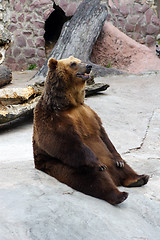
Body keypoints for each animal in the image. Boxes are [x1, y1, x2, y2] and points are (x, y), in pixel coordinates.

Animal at [33, 55, 149, 204]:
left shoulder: (89, 114)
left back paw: (138, 178)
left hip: (108, 157)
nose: (88, 66)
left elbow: (103, 135)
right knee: (95, 178)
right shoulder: (53, 118)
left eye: (79, 60)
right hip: (62, 166)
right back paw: (119, 194)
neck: (70, 104)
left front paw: (119, 160)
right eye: (73, 63)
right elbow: (64, 142)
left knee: (123, 166)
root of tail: (114, 177)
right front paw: (97, 163)